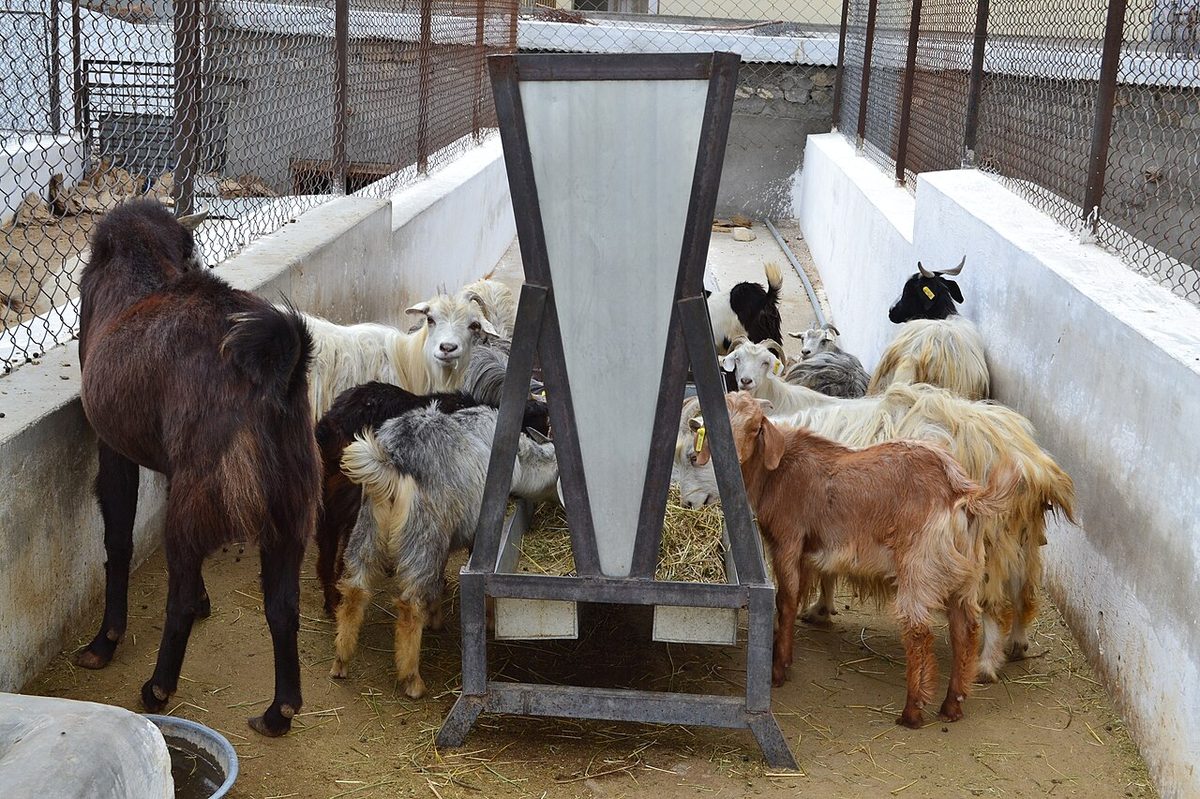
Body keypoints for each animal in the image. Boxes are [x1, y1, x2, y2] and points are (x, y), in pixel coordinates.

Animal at [76, 199, 319, 737]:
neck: (140, 266)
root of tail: (275, 371)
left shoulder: (113, 448)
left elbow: (117, 543)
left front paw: (105, 642)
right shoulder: (171, 465)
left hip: (197, 508)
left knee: (180, 597)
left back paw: (157, 687)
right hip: (289, 515)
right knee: (283, 606)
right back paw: (279, 711)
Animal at [314, 381, 550, 616]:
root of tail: (331, 425)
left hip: (326, 504)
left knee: (326, 552)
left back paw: (330, 602)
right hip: (355, 505)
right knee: (345, 556)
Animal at [330, 405, 558, 696]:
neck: (520, 460)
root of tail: (393, 459)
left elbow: (439, 582)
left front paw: (435, 619)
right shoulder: (477, 530)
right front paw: (487, 620)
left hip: (368, 527)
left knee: (355, 590)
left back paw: (341, 660)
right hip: (424, 534)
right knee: (410, 604)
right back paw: (412, 680)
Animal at [686, 342, 1075, 680]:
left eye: (695, 453)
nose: (688, 502)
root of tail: (1034, 463)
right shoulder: (830, 528)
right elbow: (825, 569)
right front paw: (821, 609)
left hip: (986, 545)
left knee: (995, 605)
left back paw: (985, 665)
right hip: (1019, 540)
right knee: (1023, 591)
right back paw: (1017, 644)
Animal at [694, 392, 1015, 727]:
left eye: (756, 427)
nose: (730, 457)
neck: (780, 470)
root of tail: (961, 493)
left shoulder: (788, 540)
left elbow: (786, 599)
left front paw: (778, 670)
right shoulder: (806, 550)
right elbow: (798, 594)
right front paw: (785, 652)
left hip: (919, 568)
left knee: (919, 632)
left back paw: (912, 711)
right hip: (965, 574)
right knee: (965, 629)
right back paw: (952, 705)